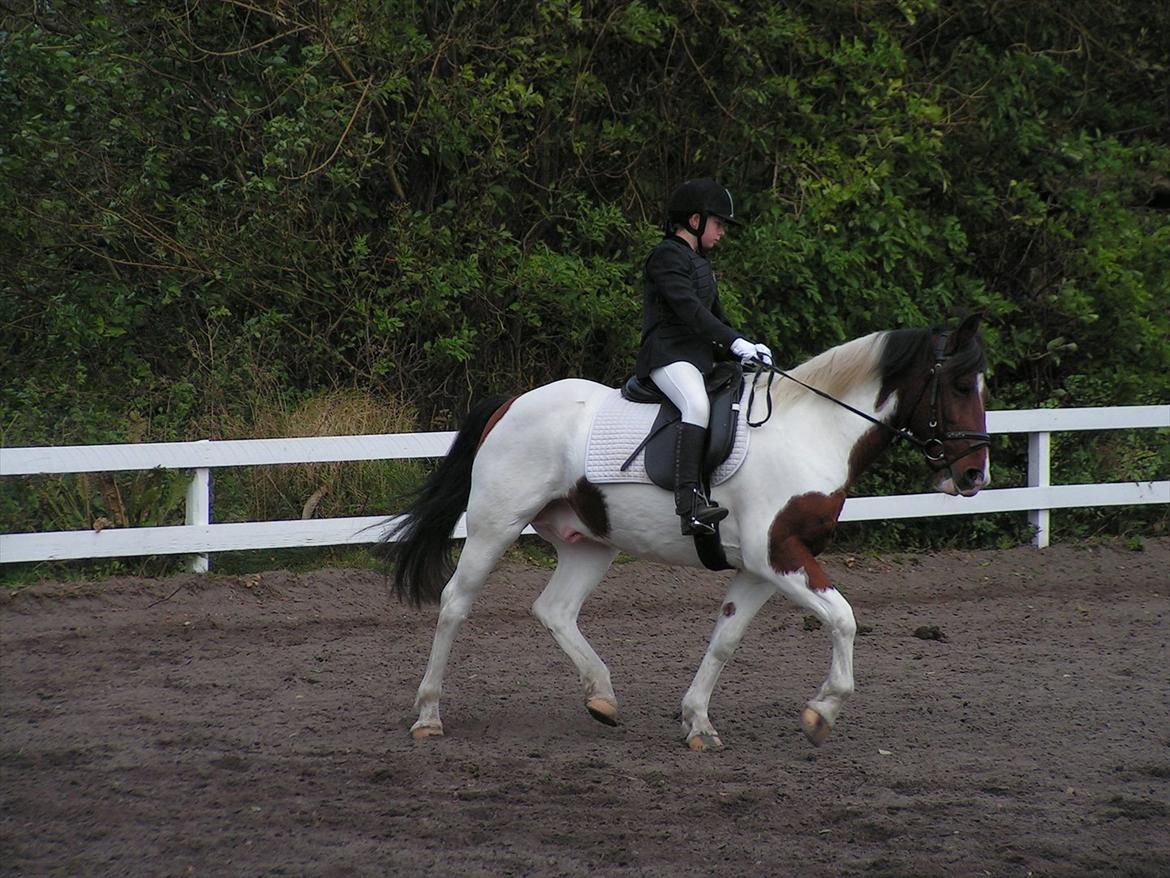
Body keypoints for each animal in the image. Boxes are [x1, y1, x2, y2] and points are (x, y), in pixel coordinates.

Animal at [381, 313, 987, 749]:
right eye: (959, 384)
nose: (974, 476)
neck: (813, 432)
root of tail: (511, 403)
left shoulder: (761, 568)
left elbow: (727, 639)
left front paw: (698, 722)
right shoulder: (779, 555)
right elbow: (843, 619)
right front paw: (821, 712)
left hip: (591, 543)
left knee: (554, 609)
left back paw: (601, 697)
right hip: (494, 525)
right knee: (455, 603)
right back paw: (429, 715)